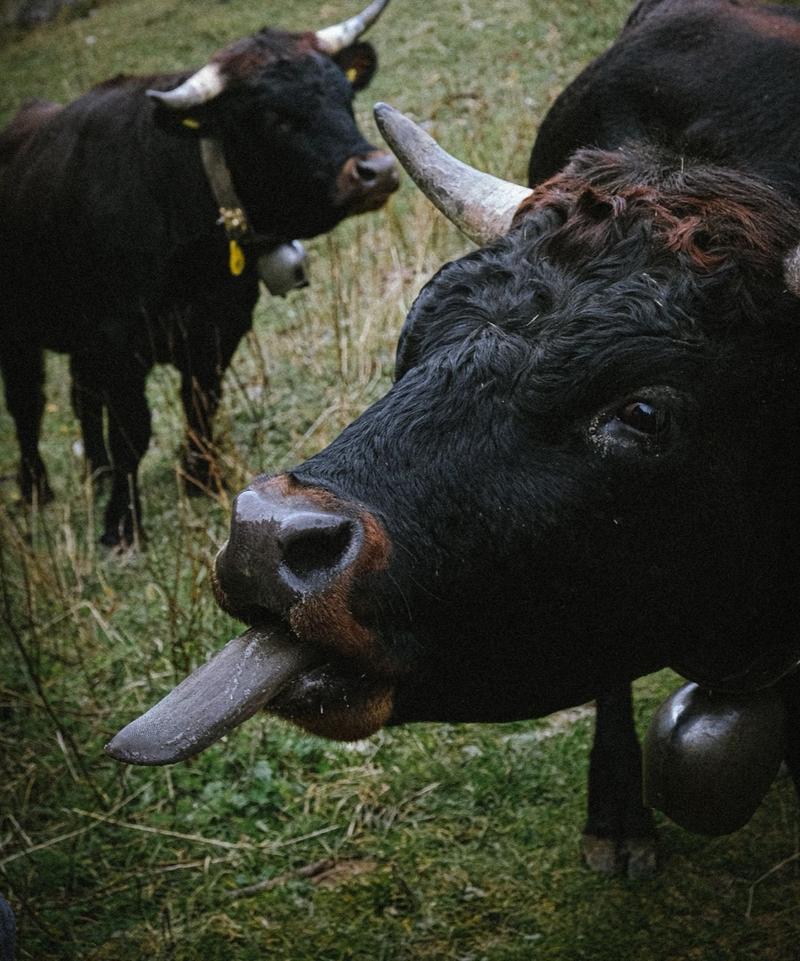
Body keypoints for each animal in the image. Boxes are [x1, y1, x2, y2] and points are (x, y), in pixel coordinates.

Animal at [0, 0, 399, 547]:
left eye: (345, 94)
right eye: (273, 115)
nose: (377, 171)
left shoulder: (216, 328)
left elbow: (200, 403)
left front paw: (200, 478)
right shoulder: (121, 343)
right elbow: (133, 431)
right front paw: (121, 526)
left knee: (81, 397)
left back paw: (96, 474)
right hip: (19, 336)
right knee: (28, 407)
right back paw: (37, 488)